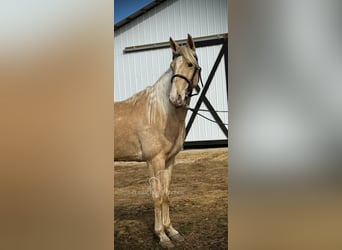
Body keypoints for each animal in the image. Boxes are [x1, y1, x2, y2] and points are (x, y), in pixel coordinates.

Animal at [114, 34, 200, 248]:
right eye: (172, 65)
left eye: (189, 64)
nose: (176, 98)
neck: (160, 114)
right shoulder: (154, 161)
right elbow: (157, 196)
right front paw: (162, 236)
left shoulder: (169, 161)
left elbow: (167, 195)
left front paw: (173, 232)